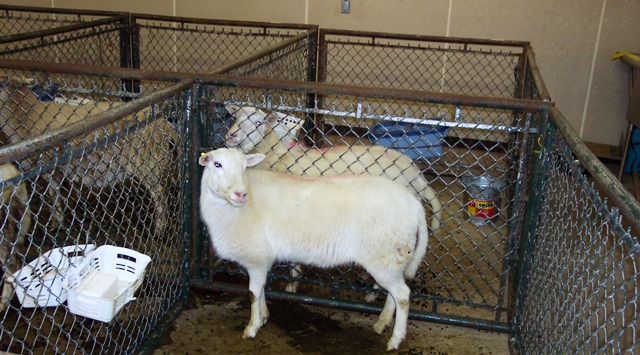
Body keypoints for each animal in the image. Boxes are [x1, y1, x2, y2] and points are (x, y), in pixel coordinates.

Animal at [0, 84, 178, 235]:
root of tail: (165, 124)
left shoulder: (49, 167)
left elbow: (54, 194)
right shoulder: (57, 169)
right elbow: (56, 194)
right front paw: (58, 222)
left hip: (147, 163)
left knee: (160, 194)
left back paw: (160, 229)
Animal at [199, 148, 430, 354]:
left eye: (244, 167)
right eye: (217, 164)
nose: (240, 194)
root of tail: (415, 205)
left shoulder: (255, 257)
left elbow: (253, 294)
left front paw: (252, 327)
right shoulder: (262, 259)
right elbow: (261, 289)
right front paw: (264, 316)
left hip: (383, 254)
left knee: (402, 295)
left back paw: (395, 339)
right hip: (392, 257)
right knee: (395, 293)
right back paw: (382, 323)